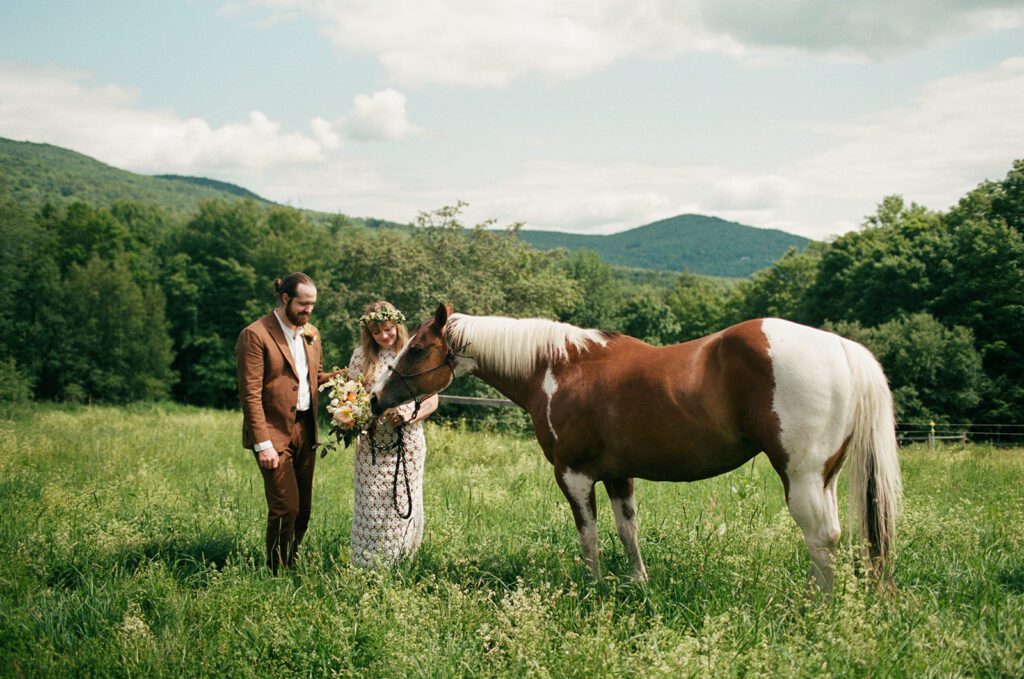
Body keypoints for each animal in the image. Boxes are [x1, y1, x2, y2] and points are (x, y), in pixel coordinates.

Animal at [372, 305, 901, 593]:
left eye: (416, 348)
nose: (376, 398)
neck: (558, 368)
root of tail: (841, 348)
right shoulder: (617, 474)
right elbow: (628, 530)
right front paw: (637, 583)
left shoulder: (574, 474)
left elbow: (588, 534)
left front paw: (592, 586)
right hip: (824, 476)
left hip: (802, 476)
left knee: (823, 537)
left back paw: (816, 607)